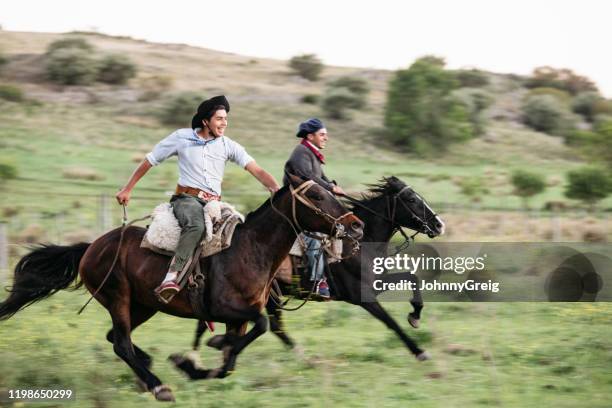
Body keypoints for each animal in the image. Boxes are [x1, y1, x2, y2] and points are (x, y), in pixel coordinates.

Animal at [0, 177, 364, 404]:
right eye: (316, 196)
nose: (355, 224)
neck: (250, 250)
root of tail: (91, 246)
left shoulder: (238, 318)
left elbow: (230, 361)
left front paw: (192, 364)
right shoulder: (224, 309)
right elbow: (256, 327)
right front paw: (197, 356)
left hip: (143, 306)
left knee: (116, 338)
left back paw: (149, 368)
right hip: (119, 299)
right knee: (120, 343)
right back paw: (158, 386)